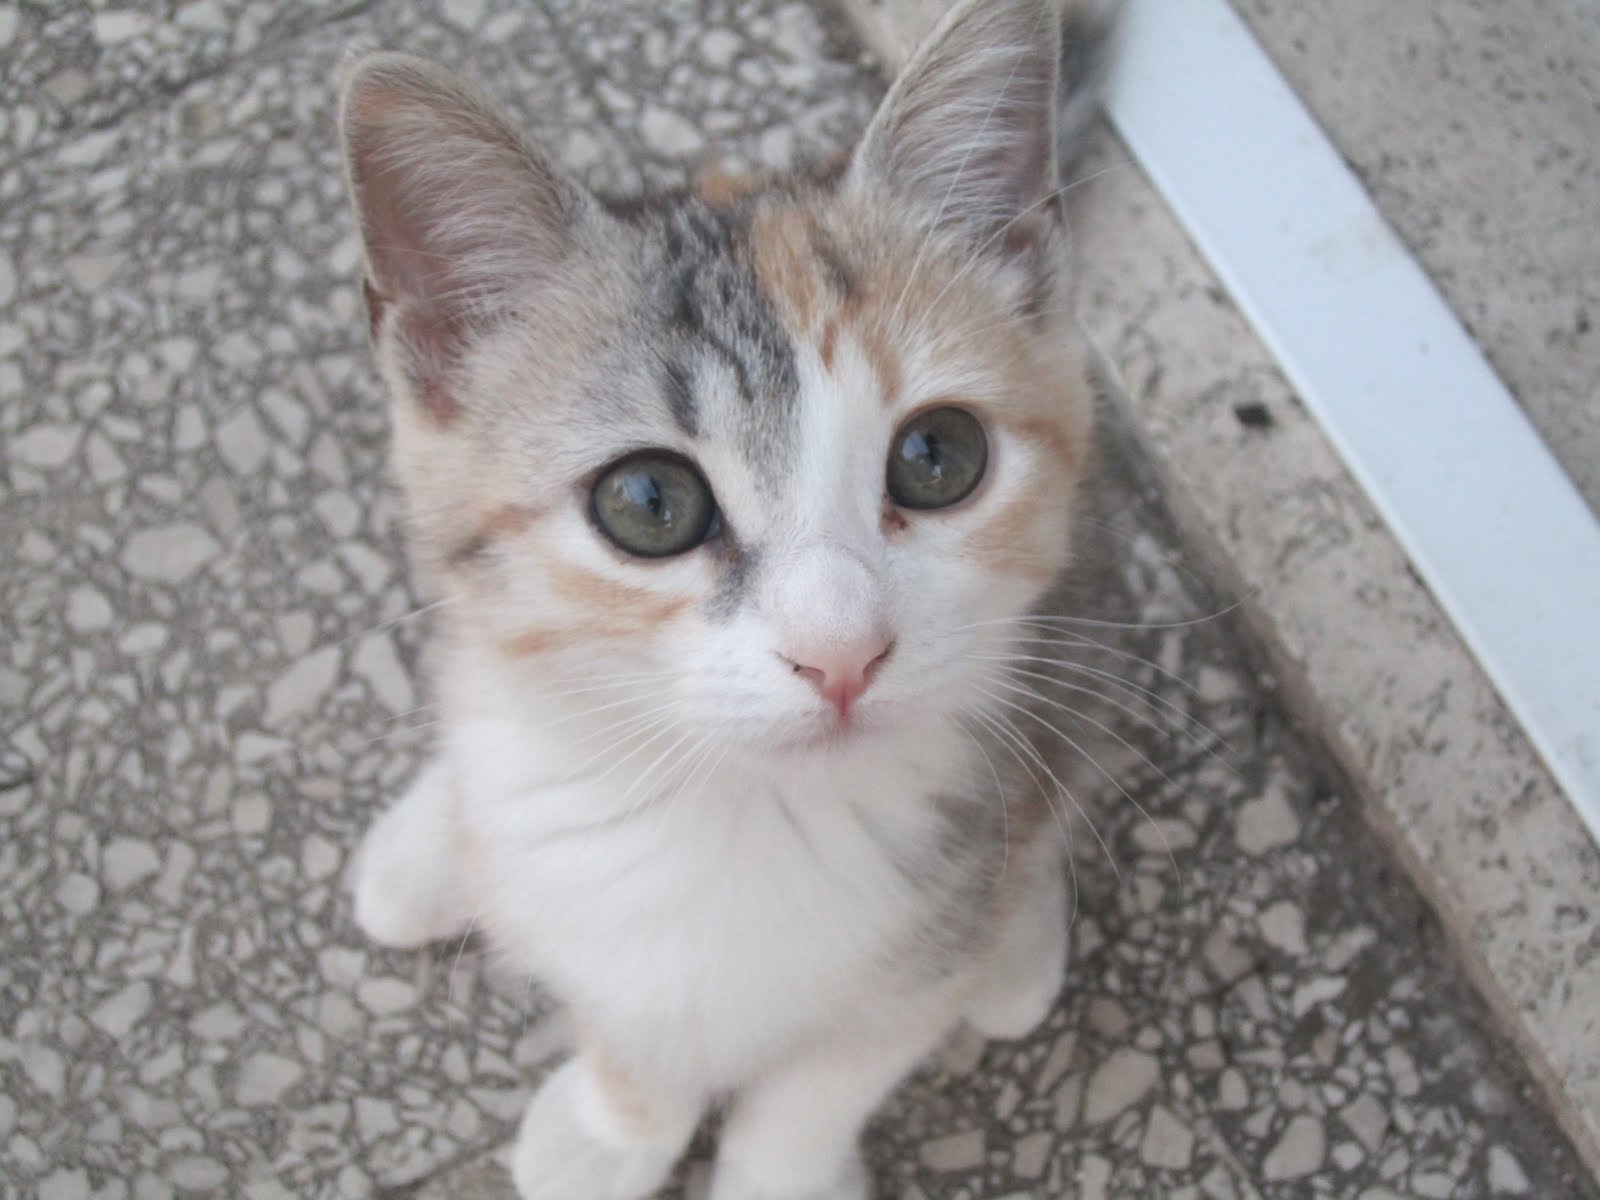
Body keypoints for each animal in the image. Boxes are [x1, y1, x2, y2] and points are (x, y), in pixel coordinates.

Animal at [338, 0, 1112, 1196]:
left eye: (939, 456)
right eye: (649, 502)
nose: (841, 653)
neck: (732, 810)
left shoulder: (915, 957)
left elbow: (823, 1083)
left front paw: (773, 1165)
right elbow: (632, 1035)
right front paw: (616, 1129)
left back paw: (1017, 954)